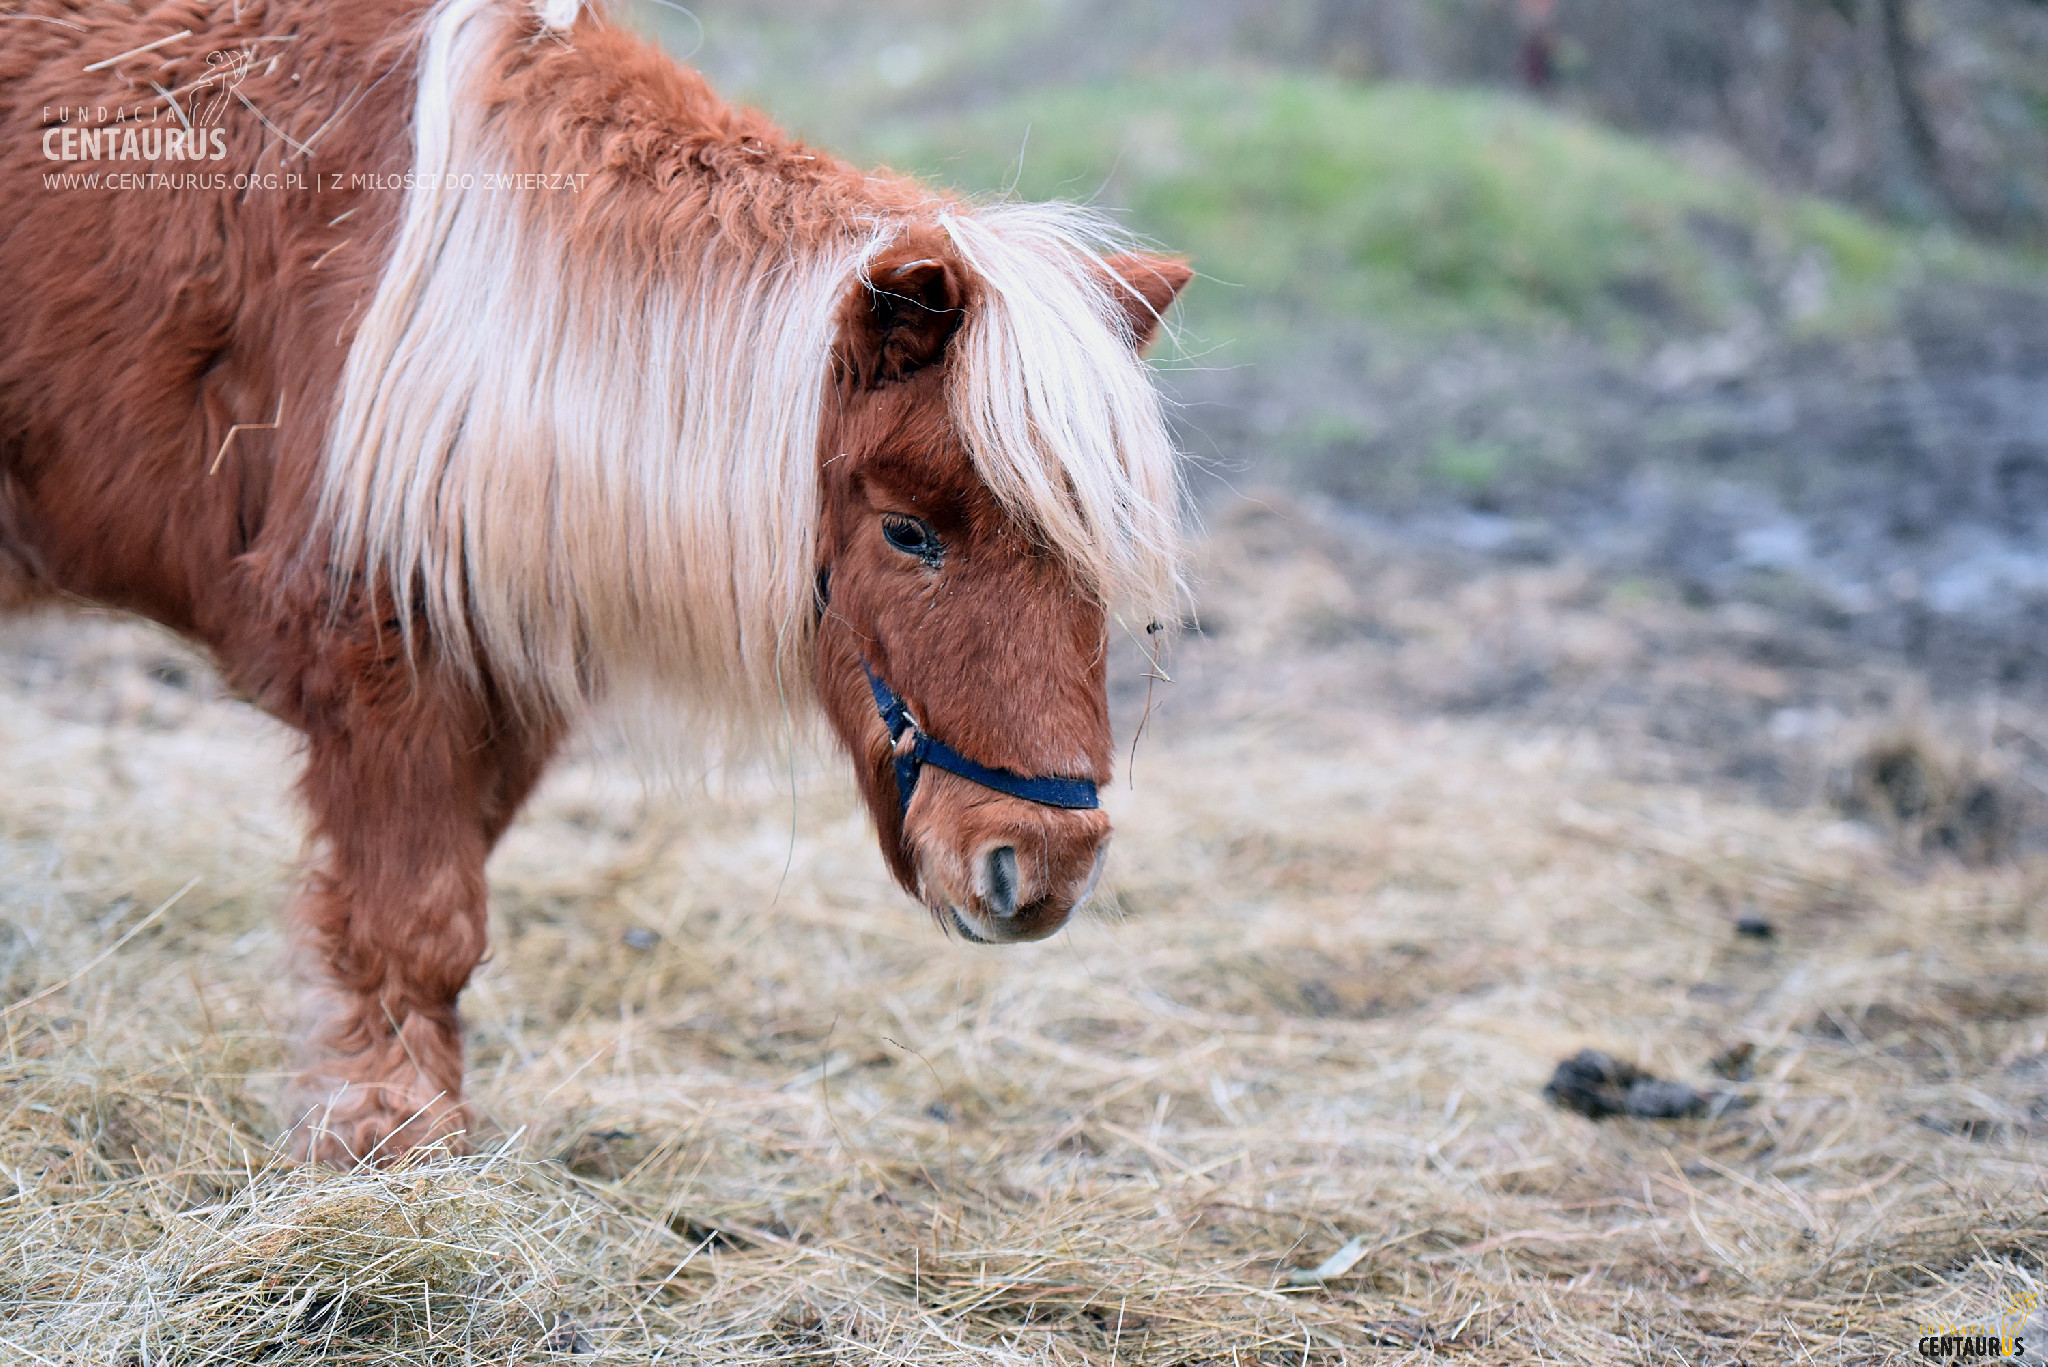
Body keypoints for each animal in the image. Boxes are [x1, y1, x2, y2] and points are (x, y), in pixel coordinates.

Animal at [0, 0, 1187, 1164]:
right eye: (906, 531)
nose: (1042, 868)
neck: (476, 321)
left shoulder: (505, 693)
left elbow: (443, 921)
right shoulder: (376, 667)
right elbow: (412, 919)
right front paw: (390, 1137)